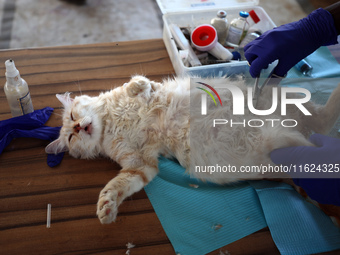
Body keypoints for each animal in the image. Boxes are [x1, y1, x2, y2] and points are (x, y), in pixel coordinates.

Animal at [44, 75, 340, 223]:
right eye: (70, 137)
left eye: (72, 116)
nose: (78, 127)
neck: (111, 124)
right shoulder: (141, 164)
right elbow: (118, 186)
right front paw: (107, 208)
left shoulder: (148, 92)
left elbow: (138, 82)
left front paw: (136, 87)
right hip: (284, 141)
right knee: (320, 131)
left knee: (324, 119)